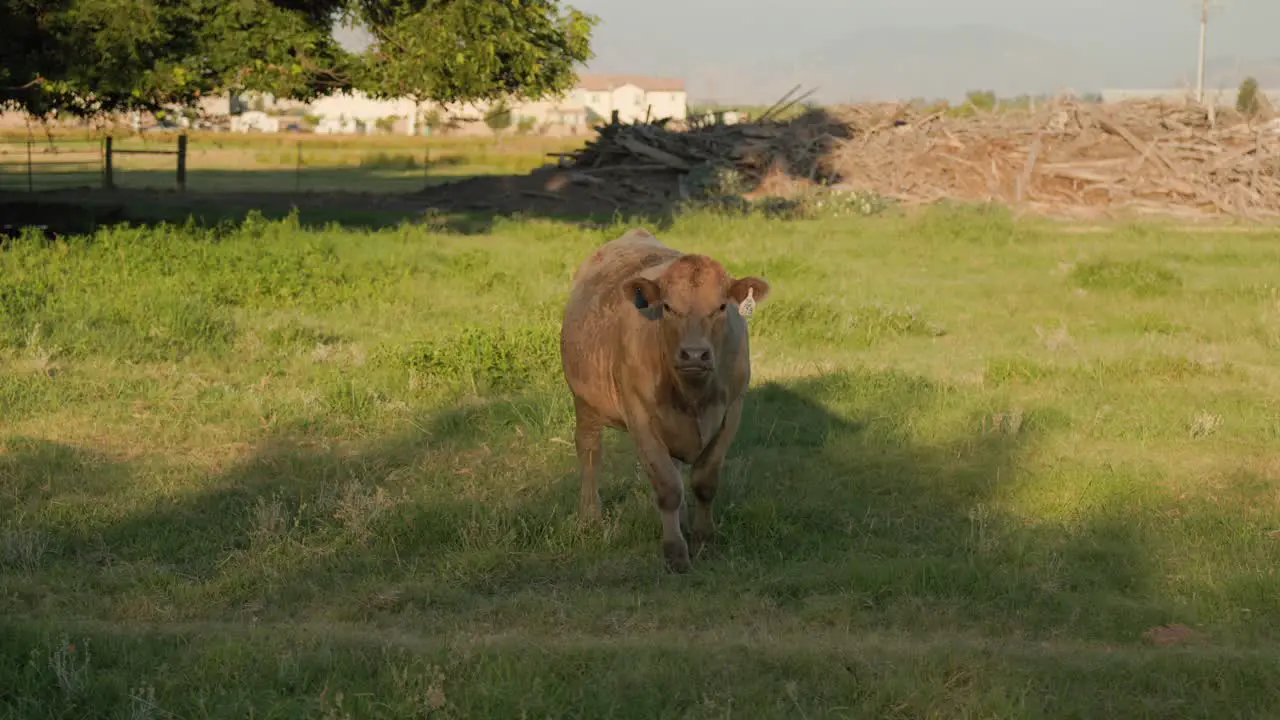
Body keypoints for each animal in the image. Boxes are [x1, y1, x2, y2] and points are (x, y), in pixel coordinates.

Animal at [560, 226, 768, 568]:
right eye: (669, 307)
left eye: (721, 307)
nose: (694, 354)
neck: (693, 394)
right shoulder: (639, 415)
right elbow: (667, 487)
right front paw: (675, 552)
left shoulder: (732, 410)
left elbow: (703, 482)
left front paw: (704, 539)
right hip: (585, 401)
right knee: (590, 453)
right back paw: (589, 517)